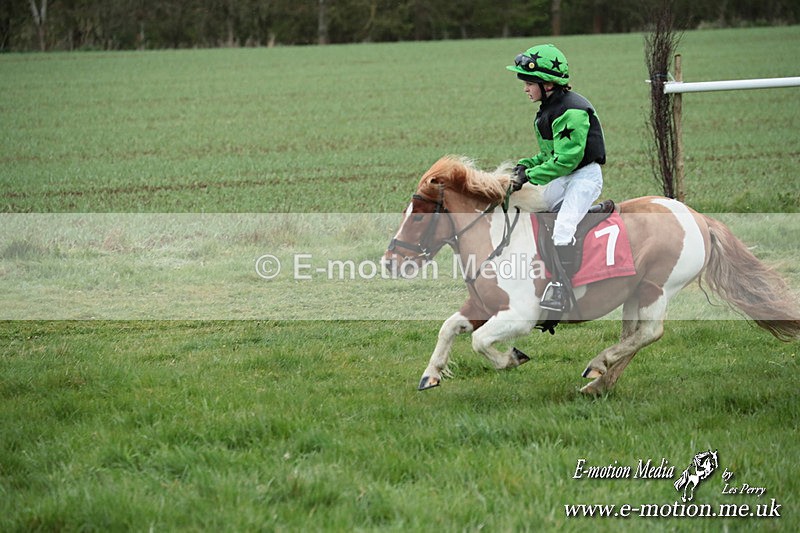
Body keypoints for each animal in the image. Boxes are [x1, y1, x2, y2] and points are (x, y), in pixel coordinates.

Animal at [382, 156, 800, 394]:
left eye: (417, 216)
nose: (389, 261)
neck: (496, 241)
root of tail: (697, 217)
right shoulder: (482, 306)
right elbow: (449, 328)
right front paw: (431, 376)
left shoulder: (519, 316)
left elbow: (480, 342)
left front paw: (513, 358)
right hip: (634, 293)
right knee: (634, 339)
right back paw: (599, 385)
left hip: (657, 287)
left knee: (649, 334)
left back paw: (597, 366)